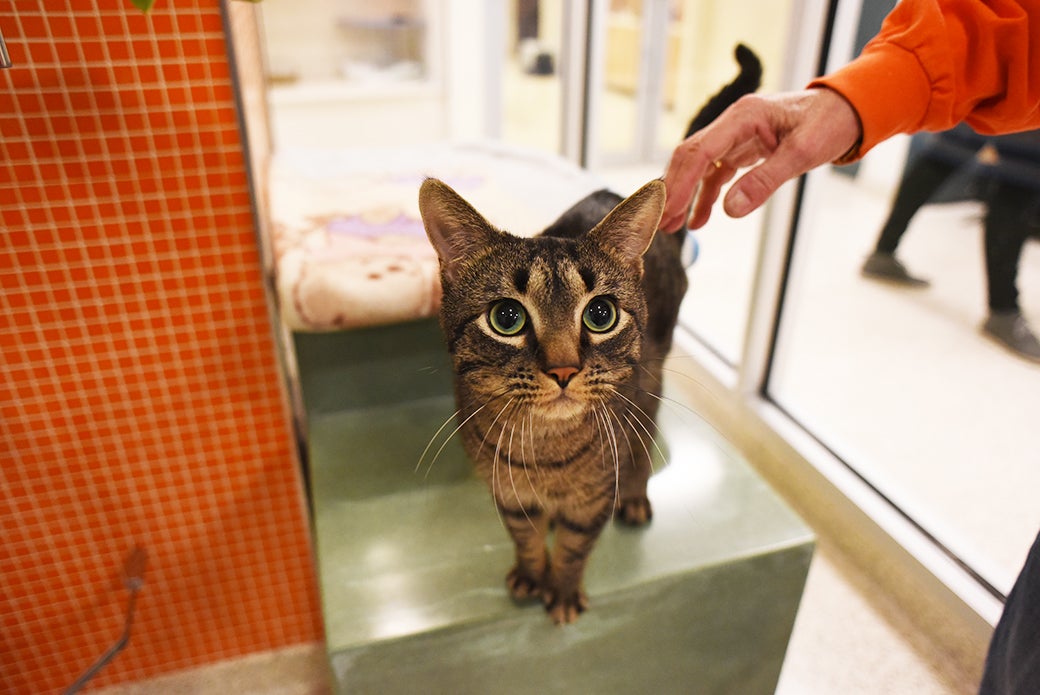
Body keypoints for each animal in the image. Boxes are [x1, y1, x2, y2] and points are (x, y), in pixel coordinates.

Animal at [418, 44, 762, 624]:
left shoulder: (592, 499)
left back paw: (636, 494)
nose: (563, 369)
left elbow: (576, 546)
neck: (545, 457)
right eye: (507, 318)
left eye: (600, 314)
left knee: (644, 440)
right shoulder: (507, 494)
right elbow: (526, 537)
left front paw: (560, 590)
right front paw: (531, 574)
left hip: (651, 379)